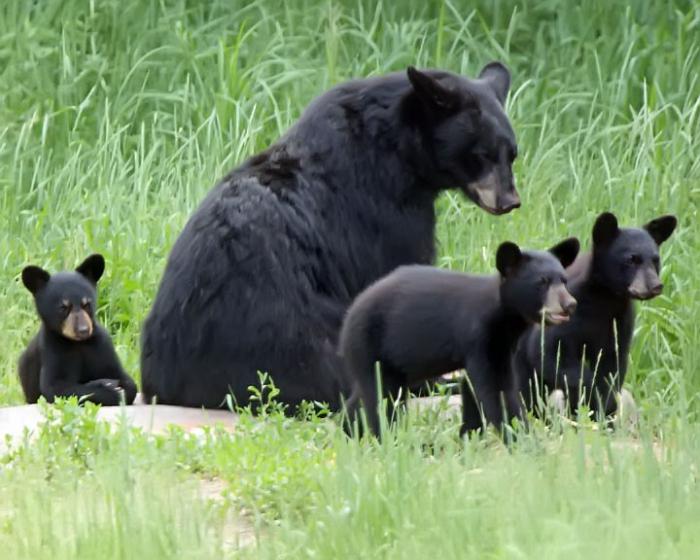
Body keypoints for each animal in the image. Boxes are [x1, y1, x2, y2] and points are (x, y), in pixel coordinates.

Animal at [18, 255, 137, 406]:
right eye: (63, 307)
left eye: (86, 304)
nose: (83, 330)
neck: (78, 343)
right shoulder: (53, 349)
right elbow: (56, 388)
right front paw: (107, 387)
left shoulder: (101, 346)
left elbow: (126, 381)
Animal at [141, 62, 520, 412]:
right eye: (481, 154)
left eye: (512, 154)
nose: (510, 201)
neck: (398, 147)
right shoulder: (388, 213)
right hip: (304, 338)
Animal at [338, 237, 580, 438]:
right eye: (542, 282)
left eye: (564, 281)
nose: (569, 304)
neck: (504, 318)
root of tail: (349, 315)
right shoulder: (480, 336)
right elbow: (497, 389)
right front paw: (523, 437)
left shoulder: (501, 342)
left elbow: (474, 389)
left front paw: (469, 437)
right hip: (371, 346)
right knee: (383, 398)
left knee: (362, 396)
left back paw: (347, 431)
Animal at [516, 213, 680, 420]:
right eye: (631, 259)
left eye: (655, 259)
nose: (655, 286)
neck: (605, 299)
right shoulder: (566, 314)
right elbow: (547, 352)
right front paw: (587, 391)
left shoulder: (619, 322)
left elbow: (612, 368)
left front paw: (602, 413)